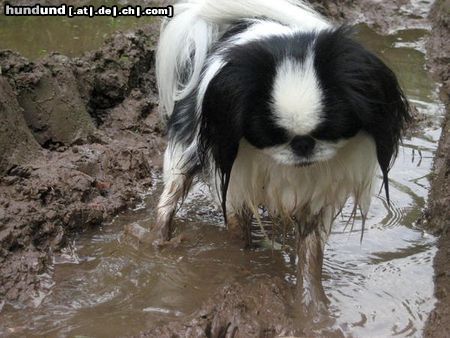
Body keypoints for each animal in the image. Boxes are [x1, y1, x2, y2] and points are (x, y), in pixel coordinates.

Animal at [152, 0, 412, 312]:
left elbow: (310, 257)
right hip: (186, 152)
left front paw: (312, 307)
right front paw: (241, 273)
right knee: (168, 200)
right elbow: (239, 236)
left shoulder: (317, 198)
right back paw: (161, 243)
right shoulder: (236, 183)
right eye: (269, 135)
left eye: (331, 130)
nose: (302, 144)